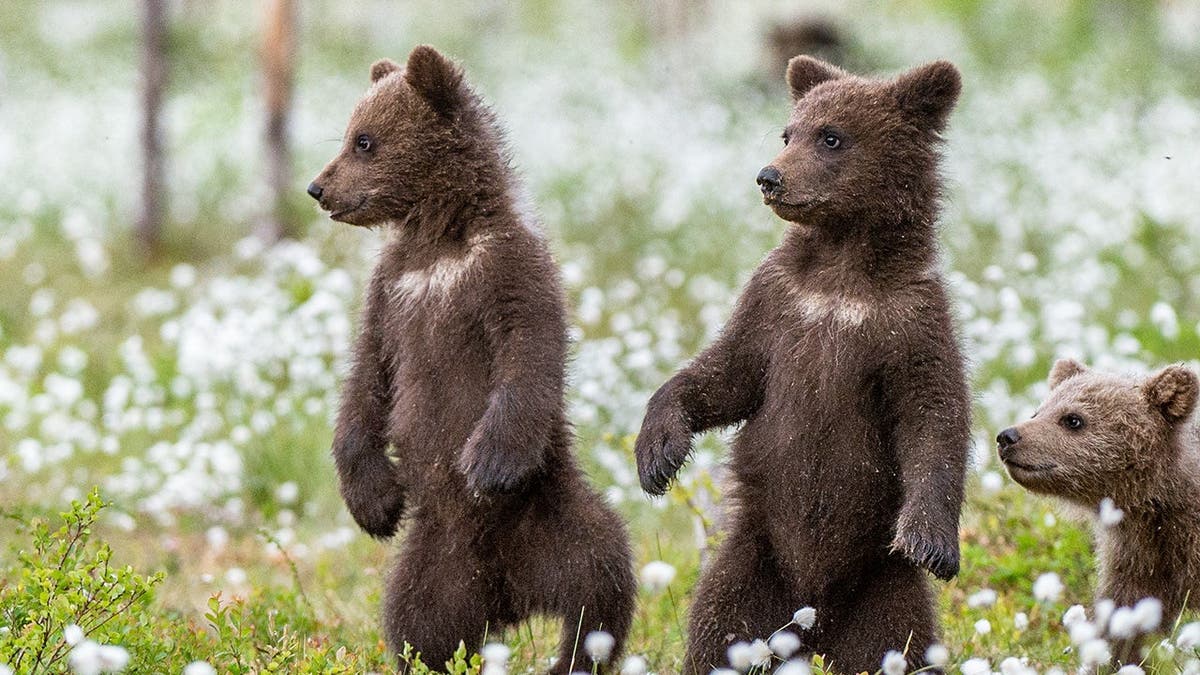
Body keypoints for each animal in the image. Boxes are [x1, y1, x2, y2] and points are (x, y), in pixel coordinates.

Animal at [307, 45, 636, 673]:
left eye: (364, 141)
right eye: (350, 133)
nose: (317, 187)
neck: (441, 240)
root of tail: (512, 595)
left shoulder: (506, 271)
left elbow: (528, 354)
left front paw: (487, 463)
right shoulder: (392, 293)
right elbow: (367, 379)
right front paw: (374, 501)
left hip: (557, 515)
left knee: (600, 581)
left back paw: (574, 653)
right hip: (435, 567)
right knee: (416, 623)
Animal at [634, 55, 971, 675]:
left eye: (831, 136)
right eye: (788, 132)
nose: (769, 177)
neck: (842, 272)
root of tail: (810, 621)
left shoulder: (908, 319)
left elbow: (932, 413)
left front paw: (929, 540)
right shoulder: (778, 302)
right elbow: (728, 374)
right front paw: (658, 451)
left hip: (882, 594)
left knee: (900, 643)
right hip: (750, 564)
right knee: (715, 628)